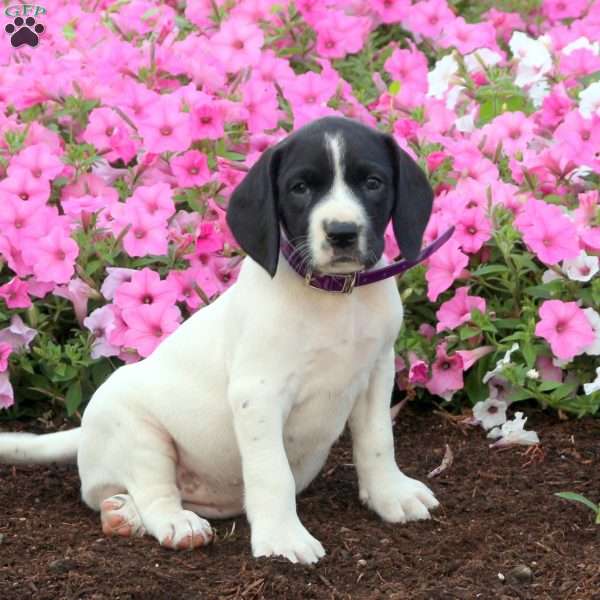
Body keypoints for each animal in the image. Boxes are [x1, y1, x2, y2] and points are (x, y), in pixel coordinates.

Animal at [0, 116, 440, 564]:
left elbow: (378, 441)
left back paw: (123, 513)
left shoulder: (375, 374)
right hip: (138, 430)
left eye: (372, 182)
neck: (334, 297)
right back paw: (169, 523)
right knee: (154, 494)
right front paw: (282, 538)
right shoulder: (258, 394)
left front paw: (391, 495)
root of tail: (84, 431)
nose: (343, 232)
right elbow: (272, 472)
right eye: (299, 188)